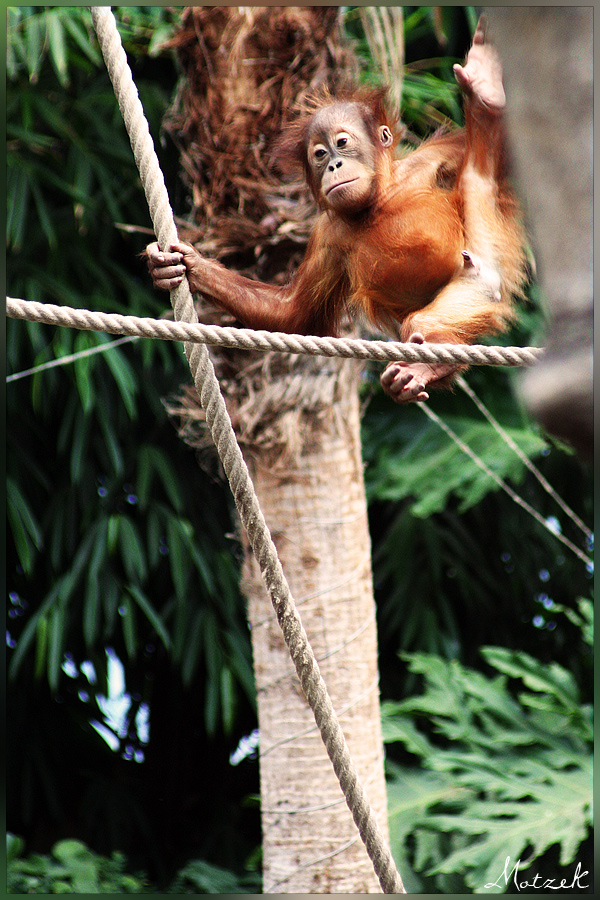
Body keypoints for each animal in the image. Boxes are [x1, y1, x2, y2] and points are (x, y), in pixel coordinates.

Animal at [146, 18, 526, 403]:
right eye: (319, 154)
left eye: (342, 143)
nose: (334, 165)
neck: (379, 200)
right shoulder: (327, 235)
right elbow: (293, 314)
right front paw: (182, 265)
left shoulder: (435, 158)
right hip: (470, 290)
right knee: (427, 319)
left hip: (480, 260)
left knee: (479, 178)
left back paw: (484, 95)